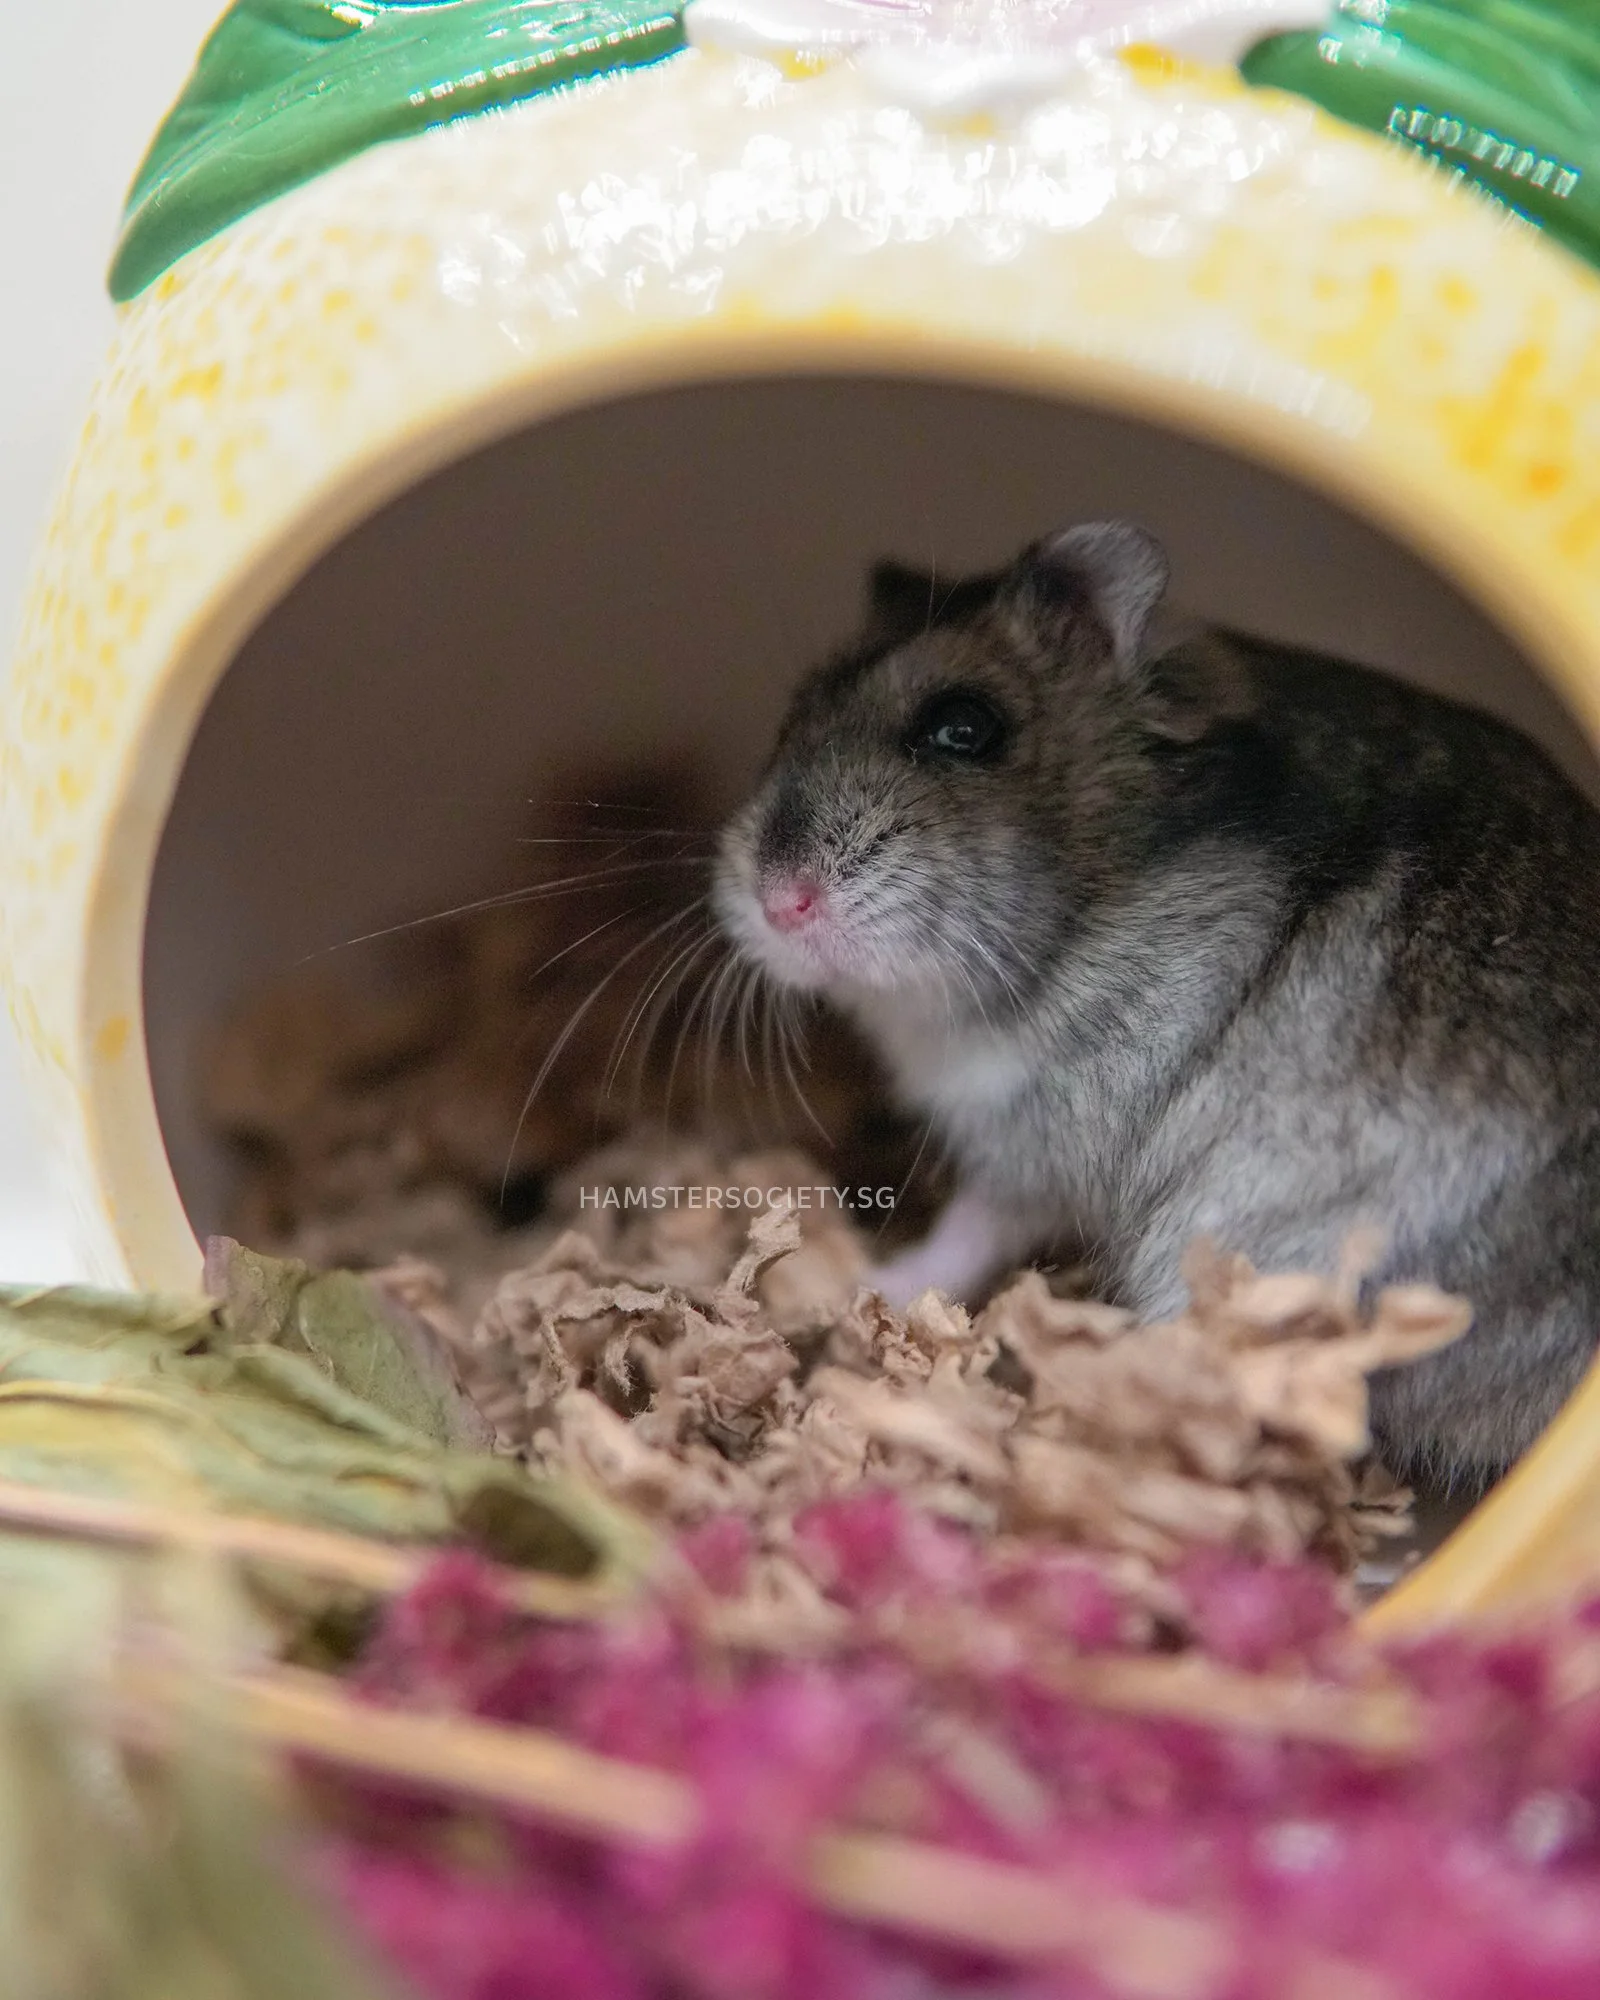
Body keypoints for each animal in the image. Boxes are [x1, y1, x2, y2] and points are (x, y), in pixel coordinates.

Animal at [714, 520, 1600, 1488]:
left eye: (965, 728)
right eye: (790, 718)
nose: (779, 901)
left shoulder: (1035, 1143)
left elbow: (971, 1226)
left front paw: (875, 1285)